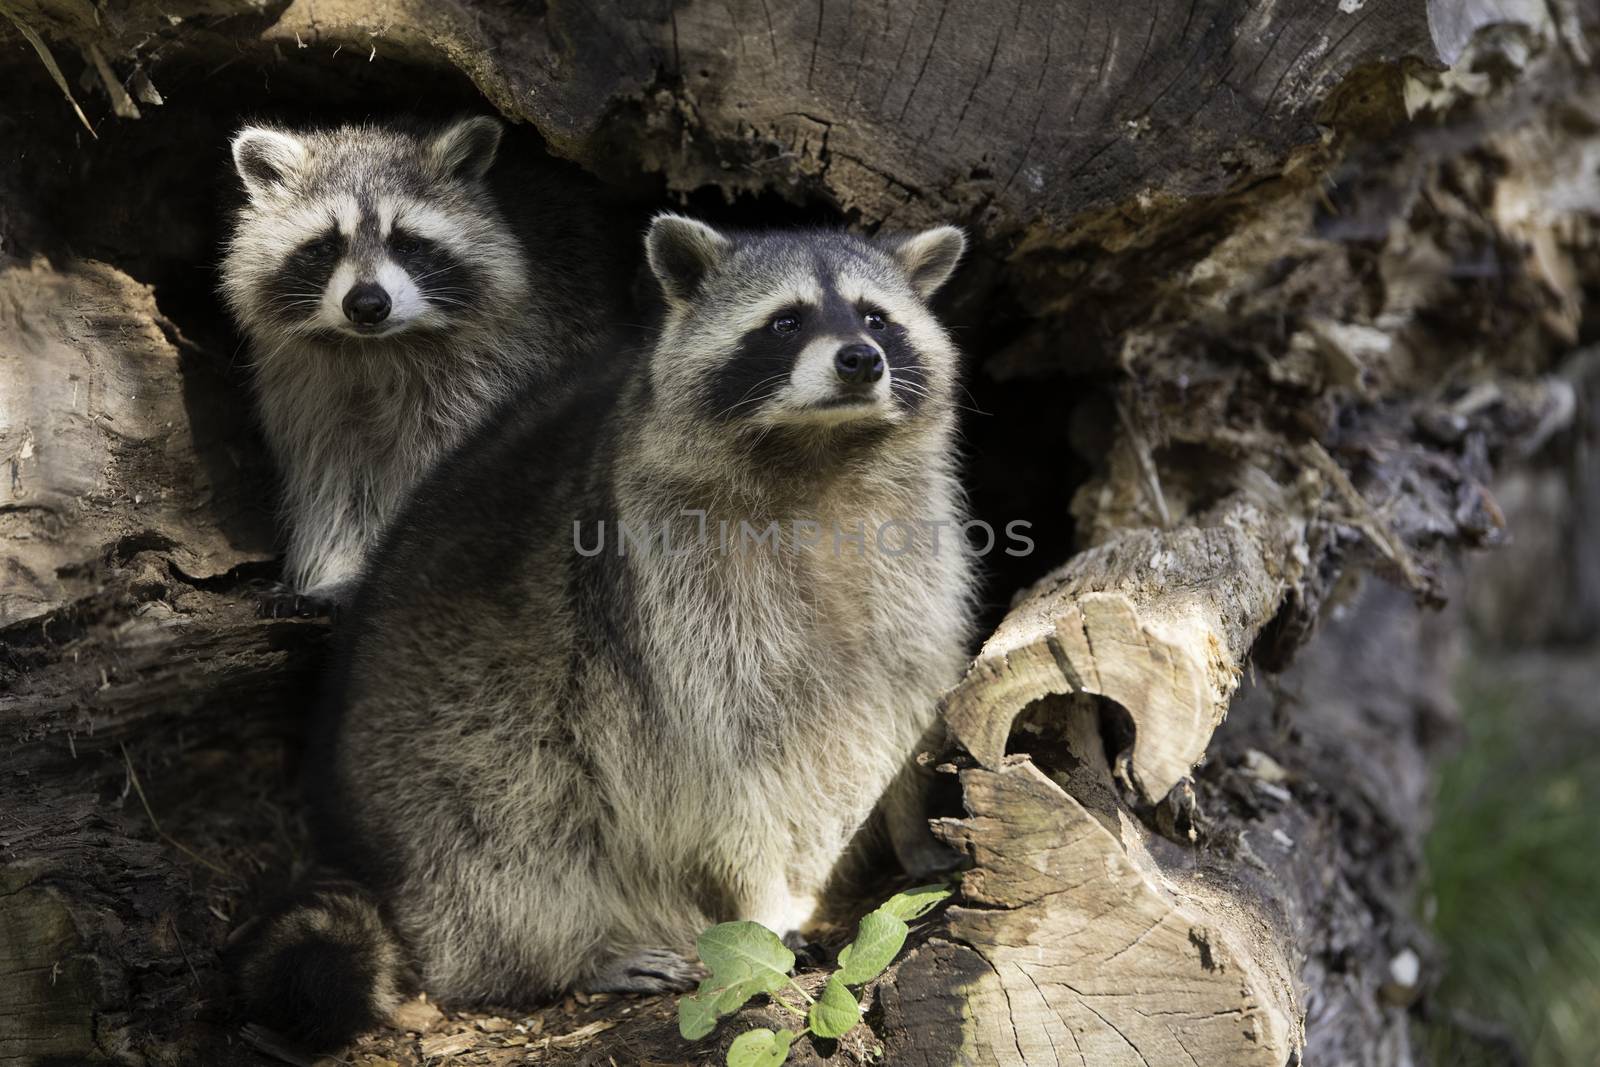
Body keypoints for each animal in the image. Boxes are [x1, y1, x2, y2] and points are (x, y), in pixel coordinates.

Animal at [220, 116, 630, 604]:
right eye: (326, 246)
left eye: (407, 244)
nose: (367, 304)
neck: (376, 349)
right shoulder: (309, 388)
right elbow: (335, 481)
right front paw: (337, 569)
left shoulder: (491, 374)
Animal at [235, 212, 972, 1049]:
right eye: (786, 321)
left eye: (877, 318)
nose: (859, 358)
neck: (821, 452)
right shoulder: (674, 600)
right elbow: (727, 766)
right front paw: (766, 898)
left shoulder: (913, 559)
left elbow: (901, 702)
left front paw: (912, 823)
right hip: (439, 769)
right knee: (515, 829)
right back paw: (570, 951)